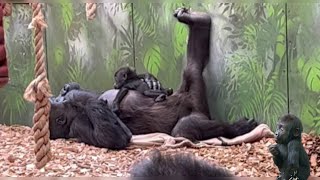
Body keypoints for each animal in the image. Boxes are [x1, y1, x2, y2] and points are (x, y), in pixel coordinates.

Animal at [48, 7, 258, 150]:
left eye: (57, 96)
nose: (59, 96)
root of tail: (201, 108)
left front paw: (149, 80)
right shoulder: (77, 124)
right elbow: (114, 136)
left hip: (191, 89)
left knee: (192, 67)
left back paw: (196, 20)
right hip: (197, 104)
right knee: (184, 128)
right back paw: (236, 129)